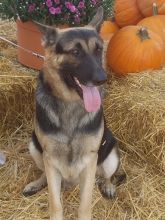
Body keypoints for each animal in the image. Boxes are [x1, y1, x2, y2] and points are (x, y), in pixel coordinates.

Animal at [23, 6, 124, 220]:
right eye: (75, 52)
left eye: (99, 50)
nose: (102, 79)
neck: (70, 103)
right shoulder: (50, 158)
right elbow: (55, 203)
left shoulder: (90, 160)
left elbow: (84, 205)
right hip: (35, 147)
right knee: (44, 174)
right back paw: (36, 183)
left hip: (111, 155)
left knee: (107, 175)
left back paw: (108, 186)